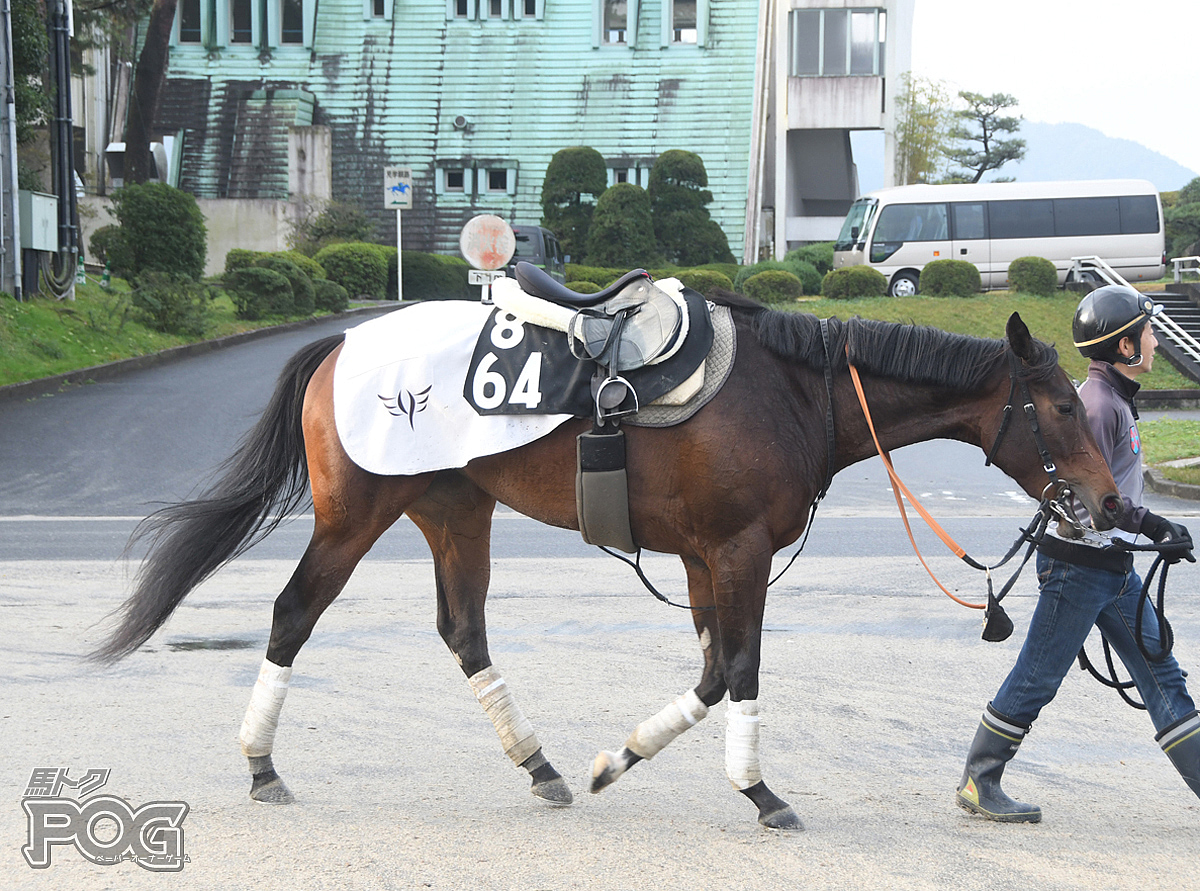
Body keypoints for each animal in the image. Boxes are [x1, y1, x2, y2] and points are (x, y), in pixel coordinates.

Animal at [93, 296, 1123, 835]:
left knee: (464, 631)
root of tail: (342, 343)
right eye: (1061, 408)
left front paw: (614, 760)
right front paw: (760, 790)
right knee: (292, 614)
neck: (794, 390)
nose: (1112, 502)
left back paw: (540, 762)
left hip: (455, 509)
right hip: (355, 516)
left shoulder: (708, 557)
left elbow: (712, 673)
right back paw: (262, 762)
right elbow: (741, 668)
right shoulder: (739, 551)